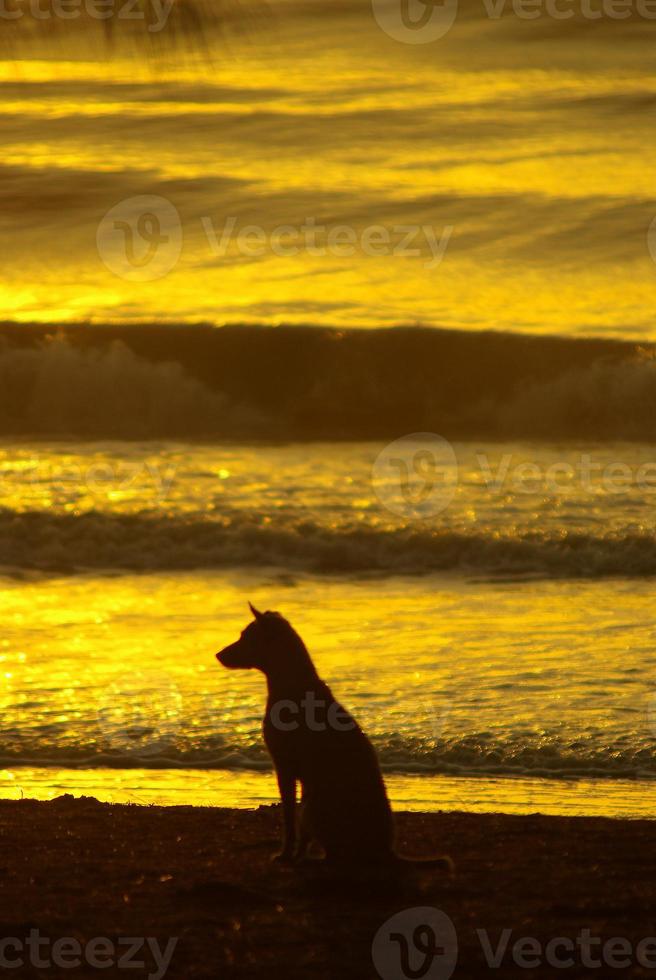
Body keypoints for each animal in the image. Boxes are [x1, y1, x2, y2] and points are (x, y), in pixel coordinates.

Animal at [215, 604, 452, 872]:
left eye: (246, 637)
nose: (217, 654)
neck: (293, 682)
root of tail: (387, 851)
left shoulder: (284, 767)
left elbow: (289, 820)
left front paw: (286, 855)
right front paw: (294, 855)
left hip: (313, 808)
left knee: (336, 854)